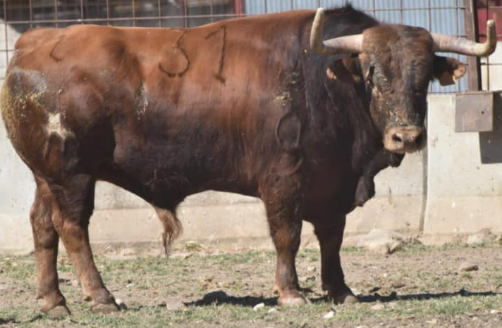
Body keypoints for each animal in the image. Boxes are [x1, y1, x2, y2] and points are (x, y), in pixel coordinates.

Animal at [0, 5, 494, 316]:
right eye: (373, 73)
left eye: (423, 76)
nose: (406, 136)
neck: (325, 80)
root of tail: (34, 42)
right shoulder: (283, 179)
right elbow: (288, 236)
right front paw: (291, 293)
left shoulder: (331, 186)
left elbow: (332, 239)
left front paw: (340, 291)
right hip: (72, 174)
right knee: (72, 228)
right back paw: (100, 296)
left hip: (45, 176)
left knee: (42, 227)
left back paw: (54, 301)